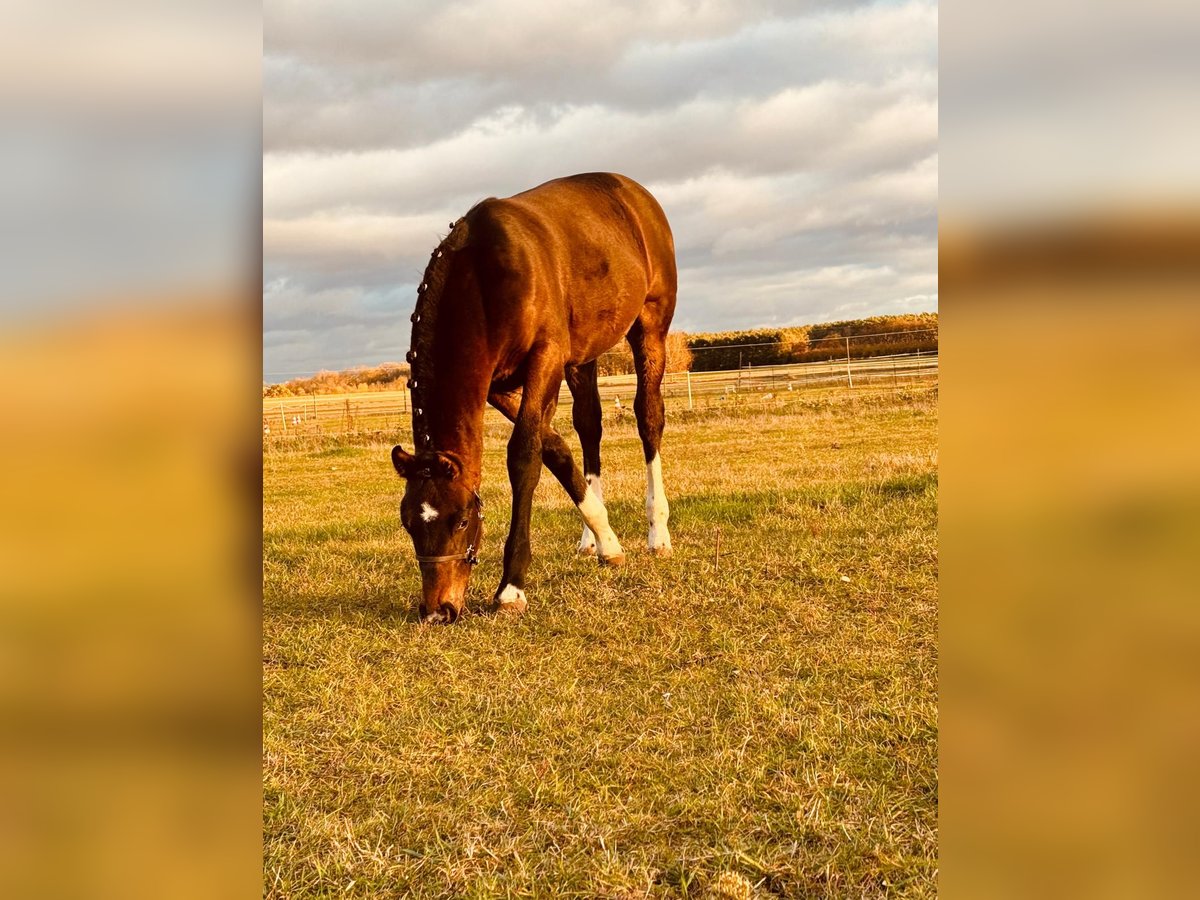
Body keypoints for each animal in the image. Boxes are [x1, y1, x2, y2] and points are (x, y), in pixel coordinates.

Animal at [391, 176, 676, 628]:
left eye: (462, 520)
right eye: (408, 523)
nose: (438, 610)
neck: (483, 276)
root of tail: (635, 193)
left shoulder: (546, 360)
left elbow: (525, 455)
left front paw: (511, 587)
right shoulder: (500, 384)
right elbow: (556, 448)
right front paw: (606, 538)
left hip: (650, 329)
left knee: (649, 417)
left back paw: (658, 534)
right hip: (584, 356)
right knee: (589, 425)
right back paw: (592, 539)